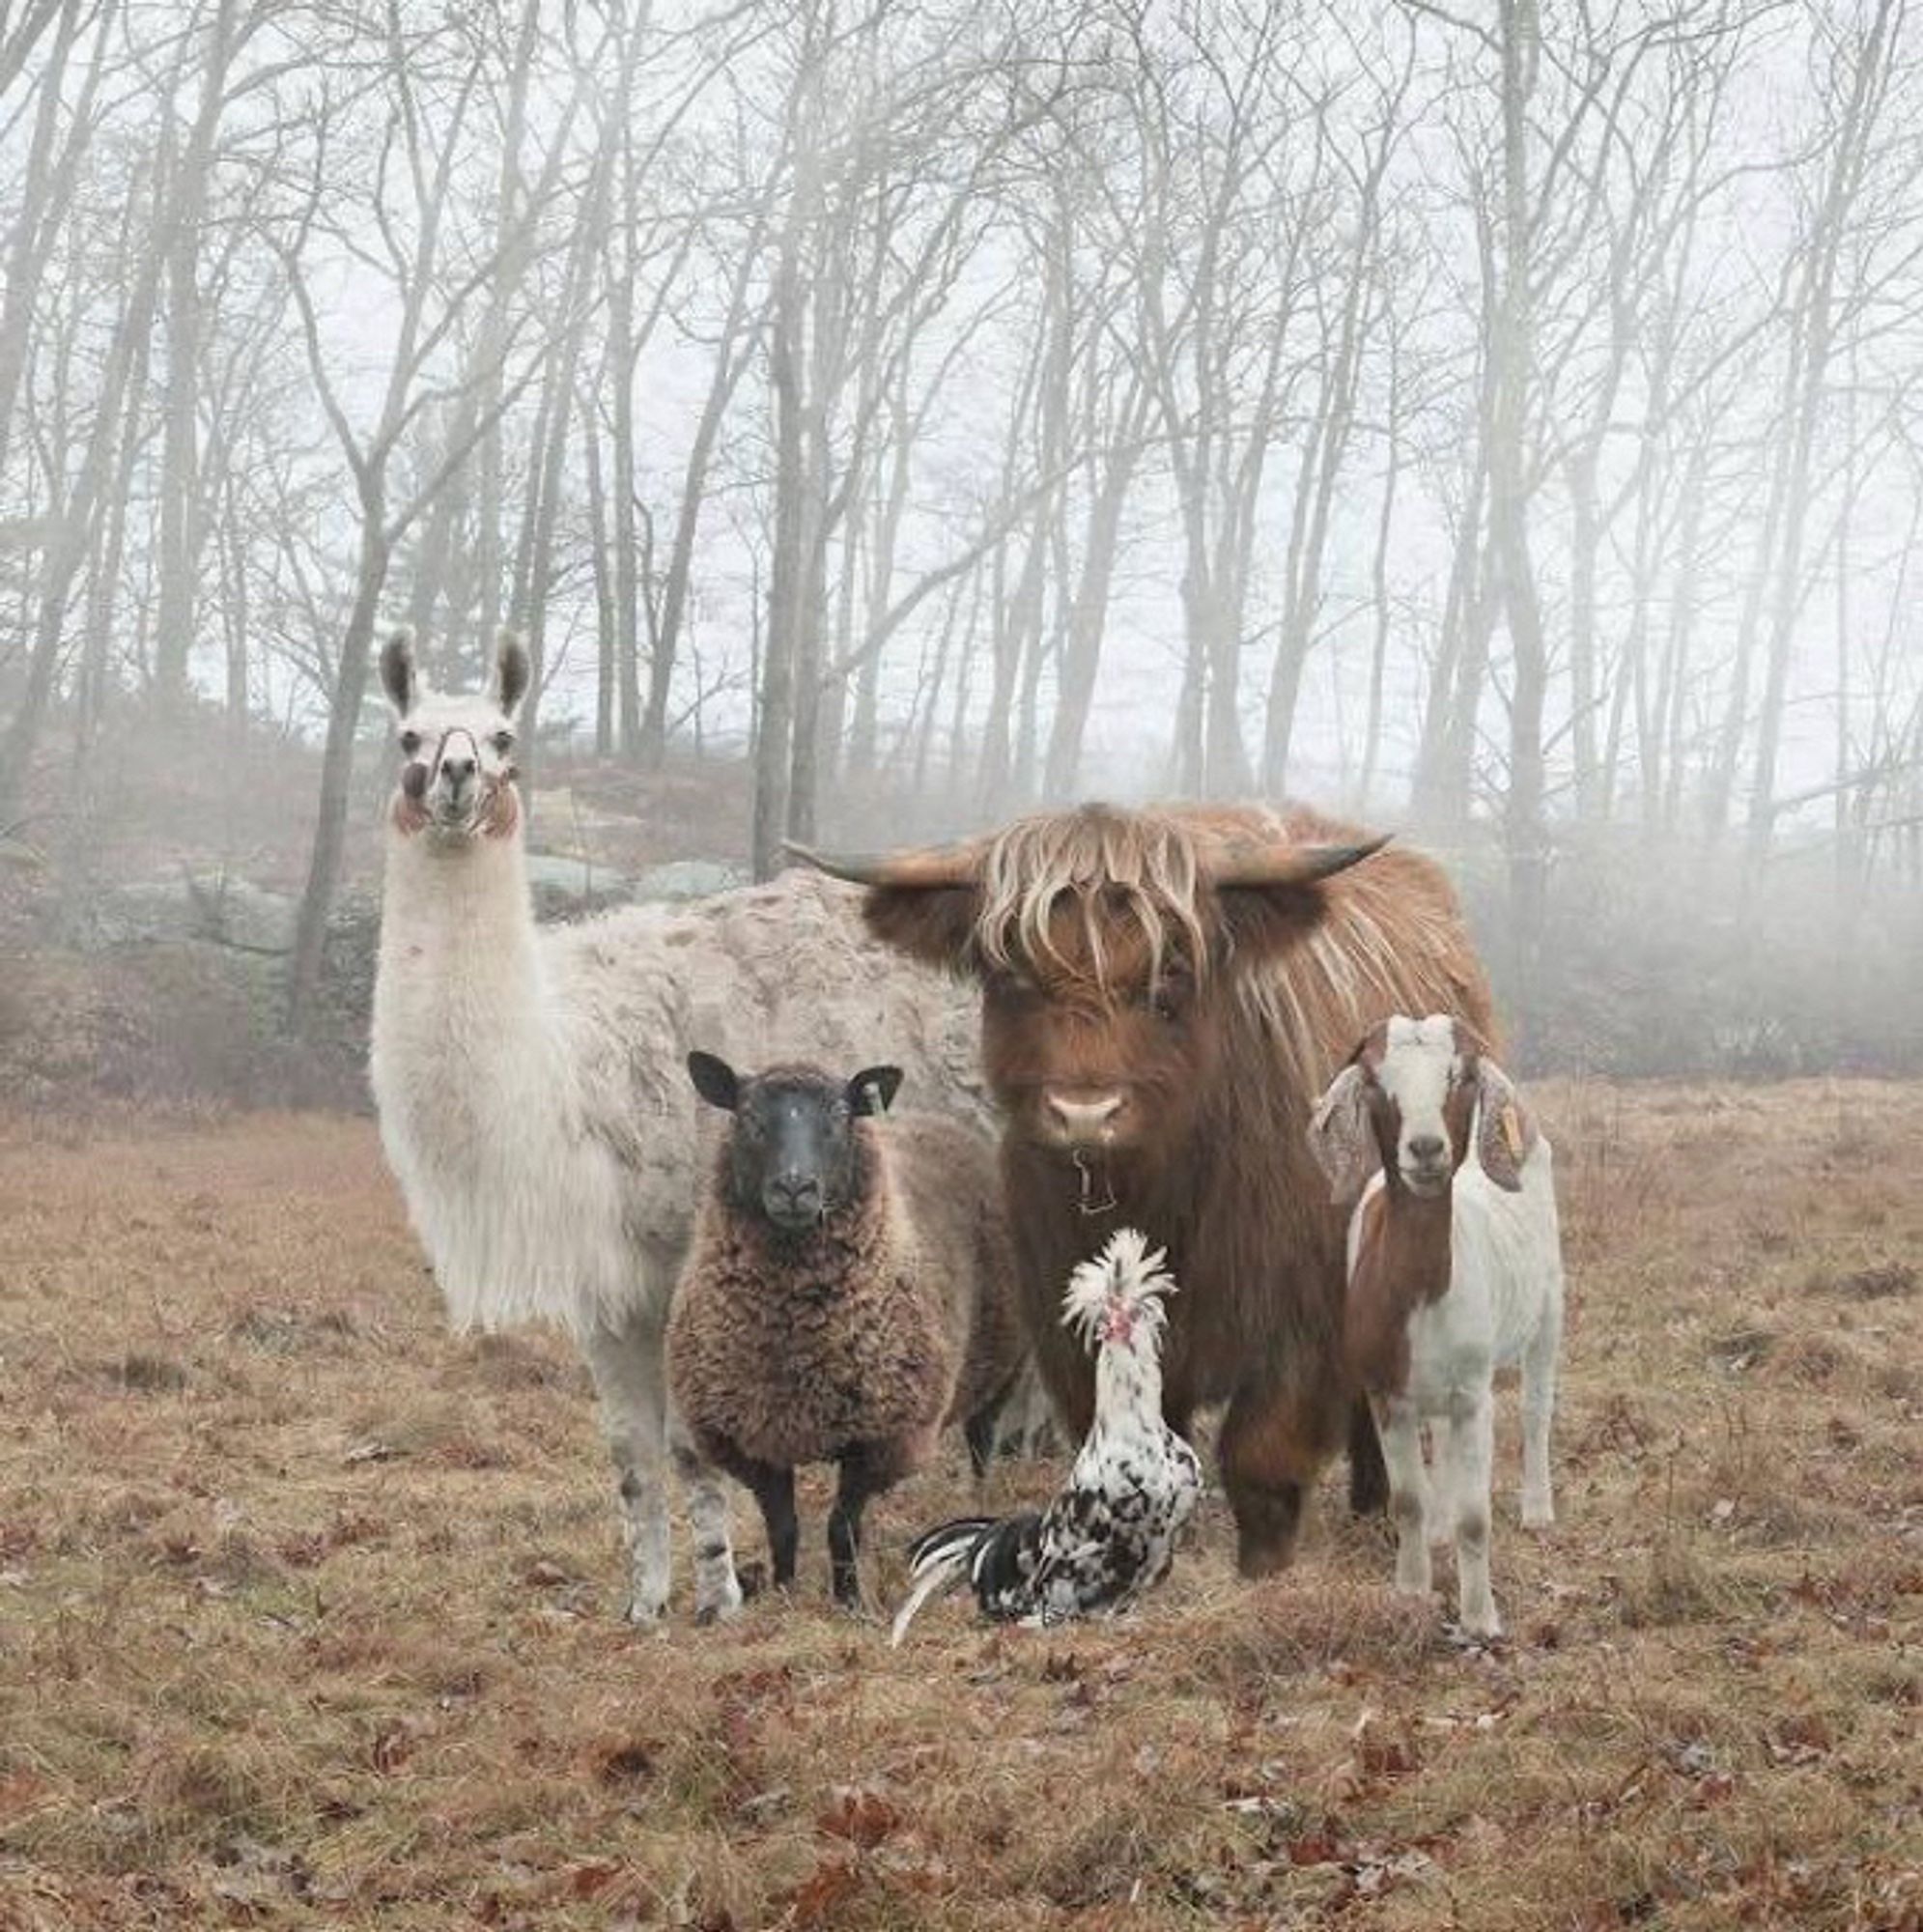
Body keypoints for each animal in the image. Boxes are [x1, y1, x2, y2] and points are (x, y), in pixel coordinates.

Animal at [664, 1051, 1019, 1607]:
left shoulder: (879, 1439)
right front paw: (785, 1591)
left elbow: (841, 1526)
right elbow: (783, 1525)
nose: (794, 1188)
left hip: (1004, 1363)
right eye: (748, 1114)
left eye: (839, 1114)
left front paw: (849, 1600)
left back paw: (977, 1494)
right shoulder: (752, 1440)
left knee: (983, 1435)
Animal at [1305, 1012, 1560, 1631]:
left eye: (1461, 1075)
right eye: (1375, 1080)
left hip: (1549, 1305)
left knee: (1537, 1408)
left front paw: (1480, 1619)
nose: (1425, 1148)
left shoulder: (1474, 1395)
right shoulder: (1386, 1391)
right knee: (1440, 1438)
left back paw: (1538, 1510)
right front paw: (1412, 1592)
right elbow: (1407, 1501)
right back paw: (1441, 1533)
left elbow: (1475, 1515)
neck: (1421, 1289)